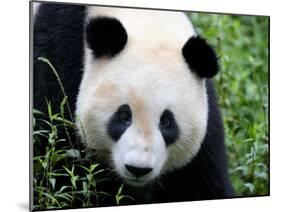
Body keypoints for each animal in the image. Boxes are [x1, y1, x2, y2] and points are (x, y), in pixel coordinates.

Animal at [34, 2, 233, 205]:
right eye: (124, 115)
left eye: (166, 121)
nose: (138, 169)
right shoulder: (56, 63)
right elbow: (61, 165)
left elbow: (205, 180)